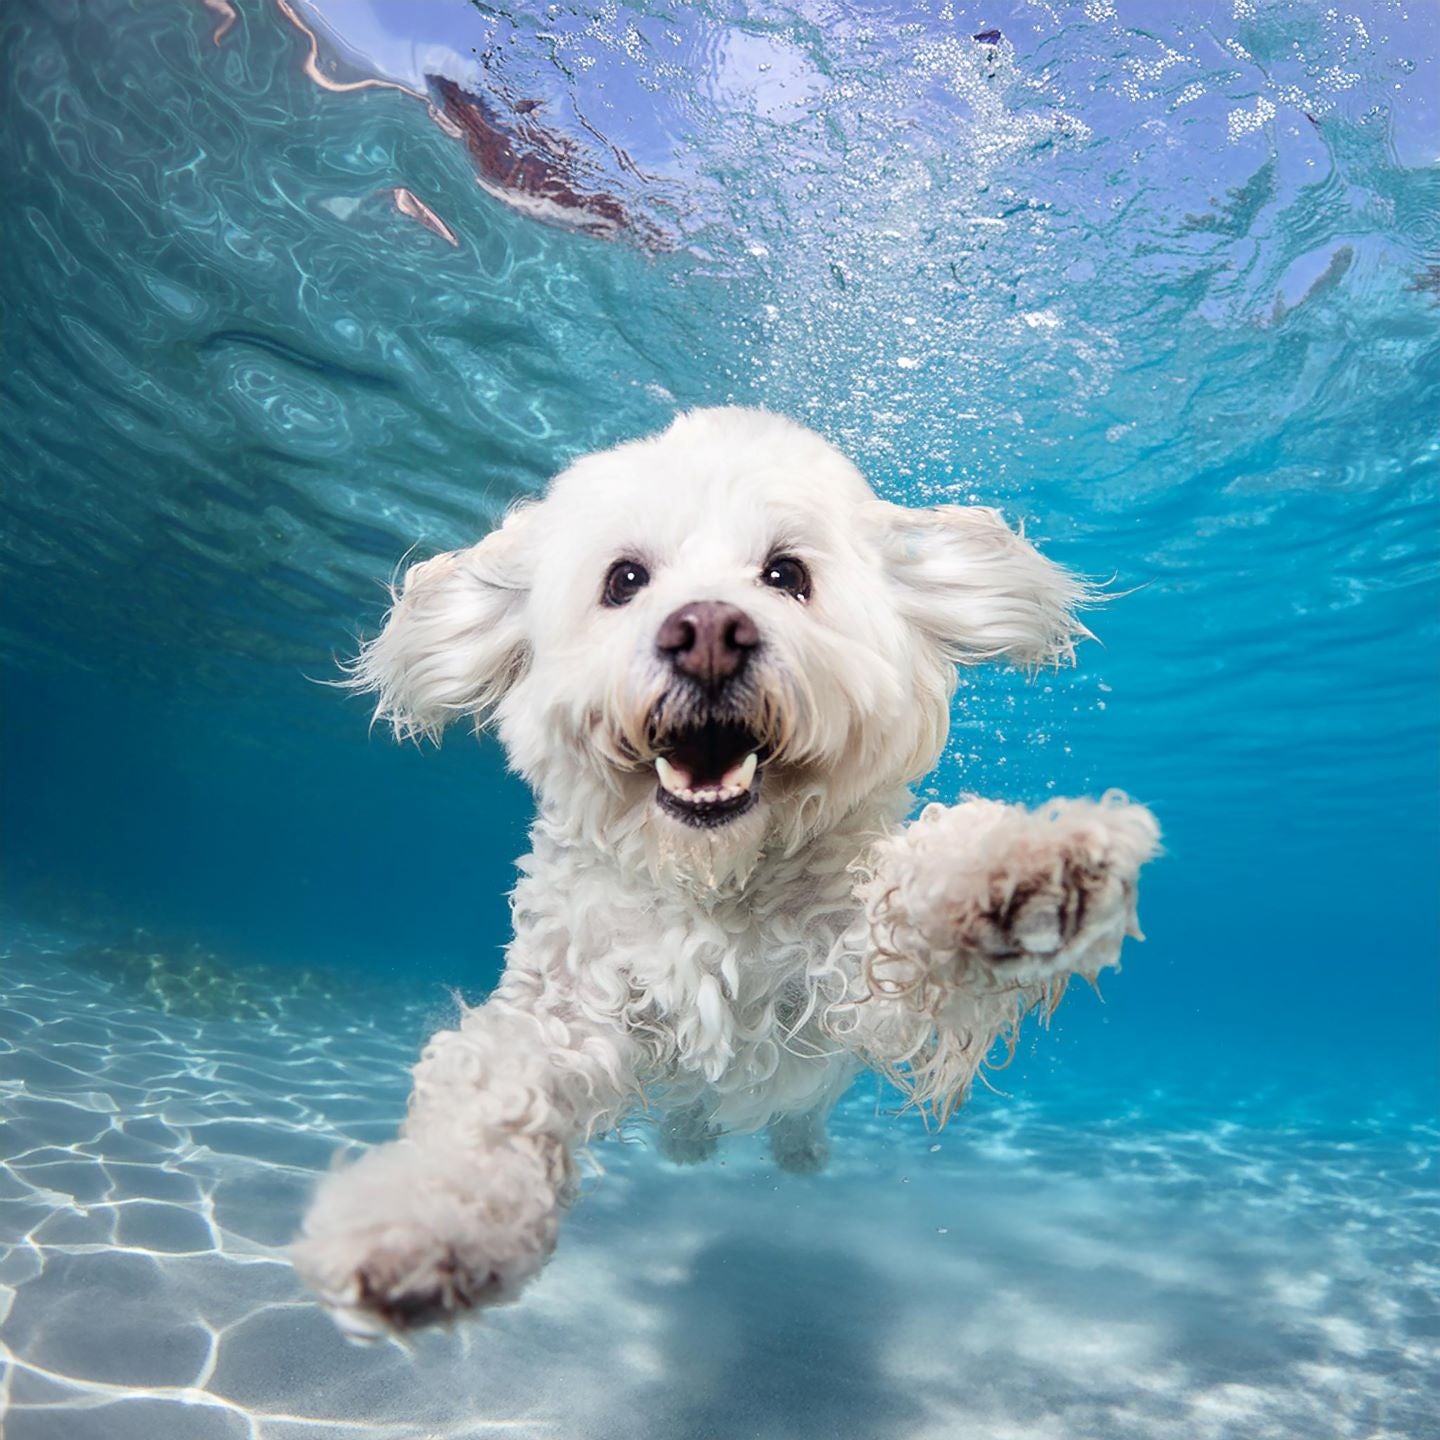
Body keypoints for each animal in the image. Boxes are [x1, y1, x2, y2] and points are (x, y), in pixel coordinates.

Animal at [292, 406, 1157, 1336]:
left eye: (786, 574)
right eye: (625, 579)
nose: (708, 630)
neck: (711, 882)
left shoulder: (851, 976)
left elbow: (906, 903)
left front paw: (1025, 870)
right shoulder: (567, 1002)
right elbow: (494, 1092)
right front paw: (422, 1221)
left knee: (797, 1113)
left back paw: (799, 1149)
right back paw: (690, 1142)